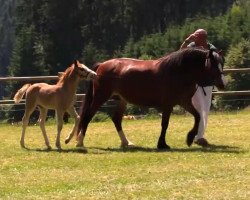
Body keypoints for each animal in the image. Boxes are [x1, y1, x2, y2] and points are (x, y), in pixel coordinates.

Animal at [73, 48, 225, 148]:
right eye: (213, 64)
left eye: (221, 64)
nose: (223, 84)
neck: (178, 71)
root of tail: (101, 66)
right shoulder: (168, 104)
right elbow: (165, 124)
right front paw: (162, 144)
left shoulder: (184, 102)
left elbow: (198, 116)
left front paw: (189, 138)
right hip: (100, 97)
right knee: (87, 116)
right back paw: (80, 142)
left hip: (122, 100)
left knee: (116, 119)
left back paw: (126, 142)